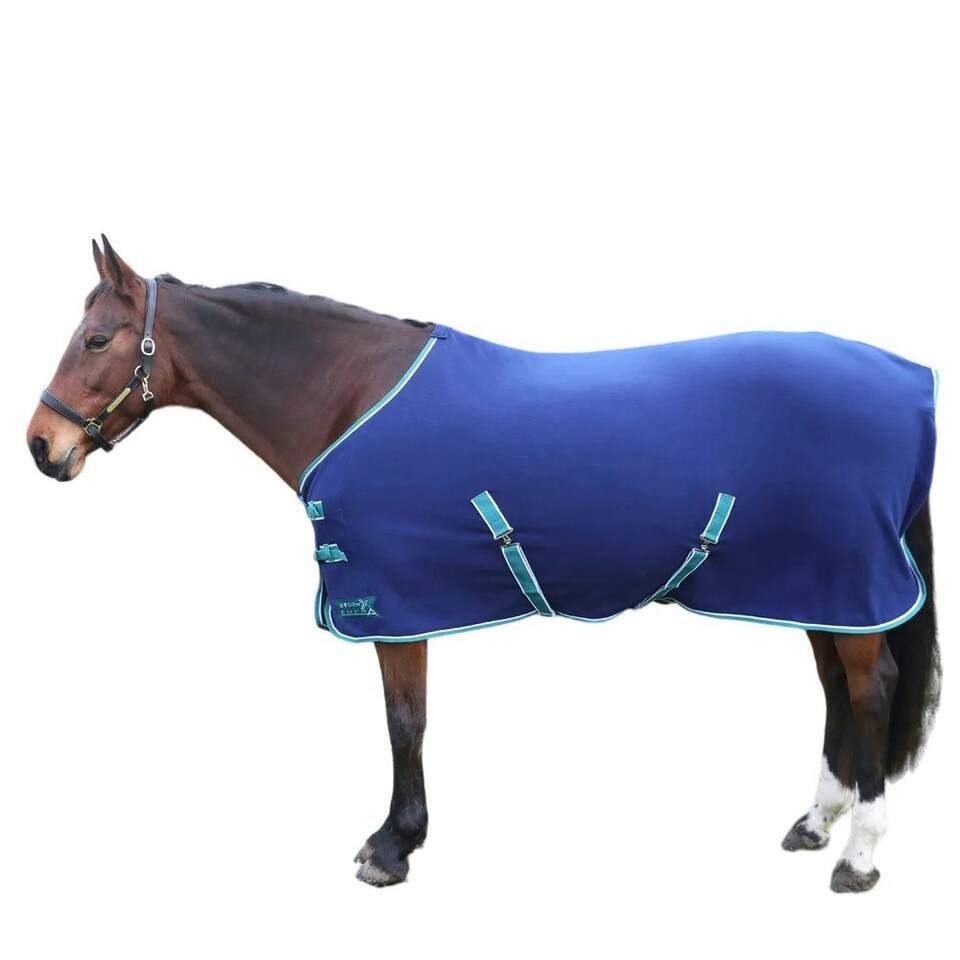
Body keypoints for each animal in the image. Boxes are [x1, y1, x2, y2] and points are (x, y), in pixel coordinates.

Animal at [27, 237, 941, 892]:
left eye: (97, 338)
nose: (42, 445)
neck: (349, 394)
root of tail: (910, 380)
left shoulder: (396, 603)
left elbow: (404, 722)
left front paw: (394, 846)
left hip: (843, 582)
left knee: (871, 694)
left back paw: (859, 856)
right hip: (815, 588)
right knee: (835, 691)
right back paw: (816, 822)